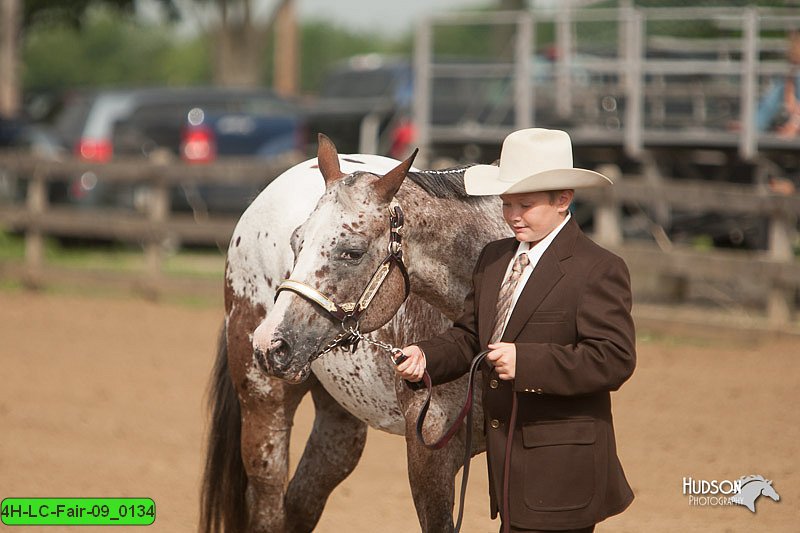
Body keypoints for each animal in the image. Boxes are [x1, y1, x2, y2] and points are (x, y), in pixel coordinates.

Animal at [200, 135, 510, 528]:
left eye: (353, 252)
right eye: (296, 241)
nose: (271, 343)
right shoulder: (429, 456)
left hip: (339, 427)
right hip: (263, 410)